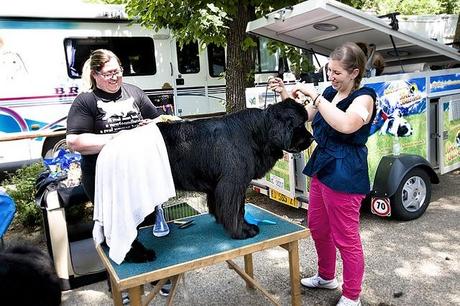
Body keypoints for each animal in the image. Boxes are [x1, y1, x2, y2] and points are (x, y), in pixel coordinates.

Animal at [157, 98, 312, 239]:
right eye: (300, 125)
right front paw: (243, 231)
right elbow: (237, 210)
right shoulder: (233, 184)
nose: (311, 138)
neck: (256, 132)